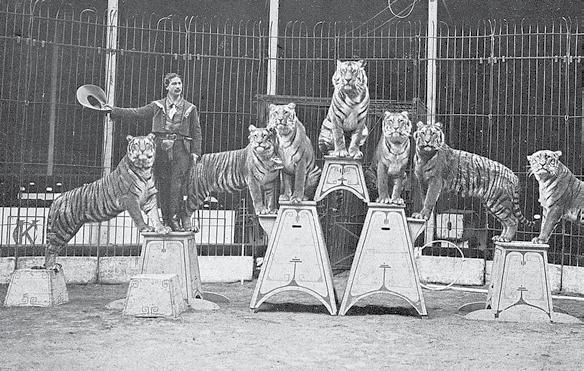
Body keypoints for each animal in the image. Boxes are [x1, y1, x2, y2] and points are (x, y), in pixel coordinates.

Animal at [44, 134, 169, 270]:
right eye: (136, 144)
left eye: (146, 144)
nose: (141, 150)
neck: (144, 169)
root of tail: (56, 199)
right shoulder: (130, 198)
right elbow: (138, 216)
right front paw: (145, 228)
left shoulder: (149, 198)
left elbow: (155, 215)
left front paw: (161, 228)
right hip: (62, 228)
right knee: (50, 248)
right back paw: (50, 266)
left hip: (69, 231)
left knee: (55, 248)